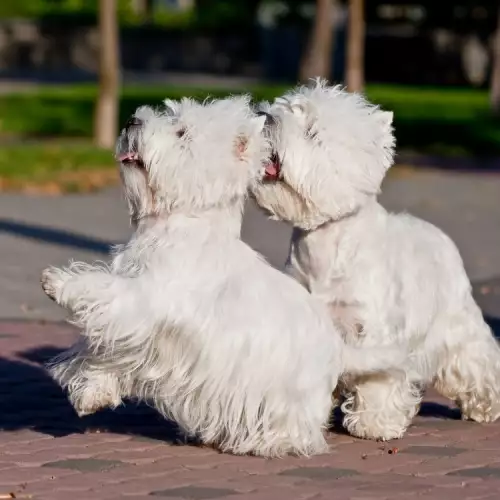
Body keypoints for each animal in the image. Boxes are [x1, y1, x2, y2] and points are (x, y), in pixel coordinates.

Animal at [41, 94, 400, 458]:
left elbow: (106, 294)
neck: (177, 225)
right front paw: (91, 394)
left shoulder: (146, 301)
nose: (131, 121)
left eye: (181, 132)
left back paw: (267, 443)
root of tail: (340, 350)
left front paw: (57, 282)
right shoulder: (138, 330)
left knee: (298, 429)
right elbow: (104, 351)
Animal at [252, 80, 500, 444]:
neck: (325, 244)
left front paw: (375, 424)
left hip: (457, 323)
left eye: (311, 131)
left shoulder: (375, 332)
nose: (263, 116)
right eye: (280, 108)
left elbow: (379, 377)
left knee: (477, 361)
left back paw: (485, 408)